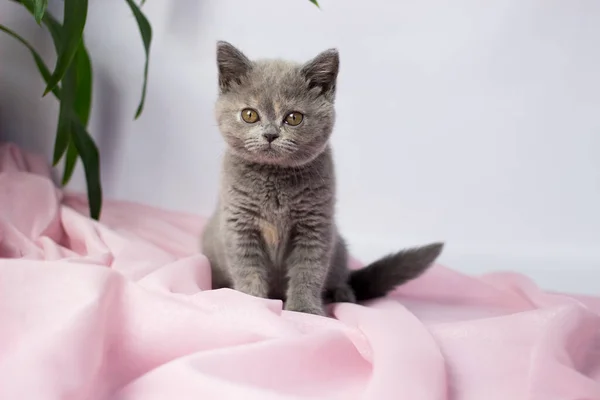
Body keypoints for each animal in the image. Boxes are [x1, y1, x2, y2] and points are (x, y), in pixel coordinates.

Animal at [199, 41, 442, 316]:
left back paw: (343, 295)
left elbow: (308, 270)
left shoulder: (315, 226)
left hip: (339, 248)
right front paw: (251, 303)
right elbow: (248, 270)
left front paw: (304, 310)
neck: (274, 177)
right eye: (250, 115)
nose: (270, 135)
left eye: (293, 118)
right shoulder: (239, 225)